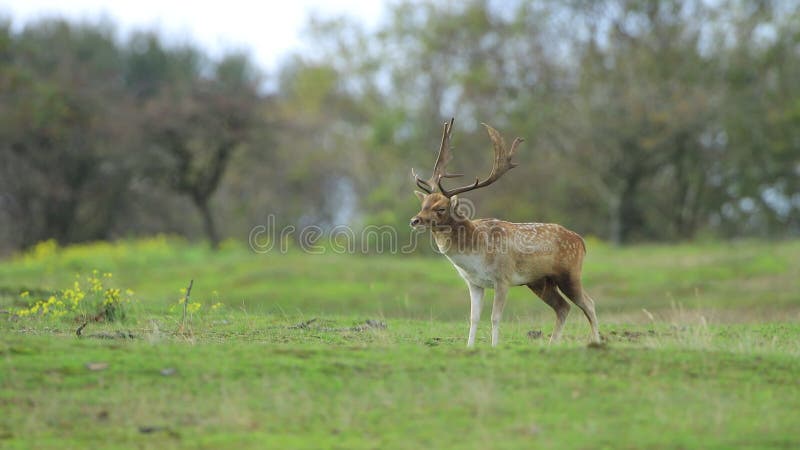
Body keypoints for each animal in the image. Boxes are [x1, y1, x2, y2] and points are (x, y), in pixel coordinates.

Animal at [412, 118, 600, 346]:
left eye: (440, 208)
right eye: (423, 204)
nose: (414, 220)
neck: (475, 255)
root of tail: (581, 241)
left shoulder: (503, 278)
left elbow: (495, 317)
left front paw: (494, 347)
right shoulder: (474, 283)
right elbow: (474, 317)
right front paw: (469, 346)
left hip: (569, 273)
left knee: (588, 303)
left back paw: (597, 342)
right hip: (538, 281)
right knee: (563, 307)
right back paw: (551, 345)